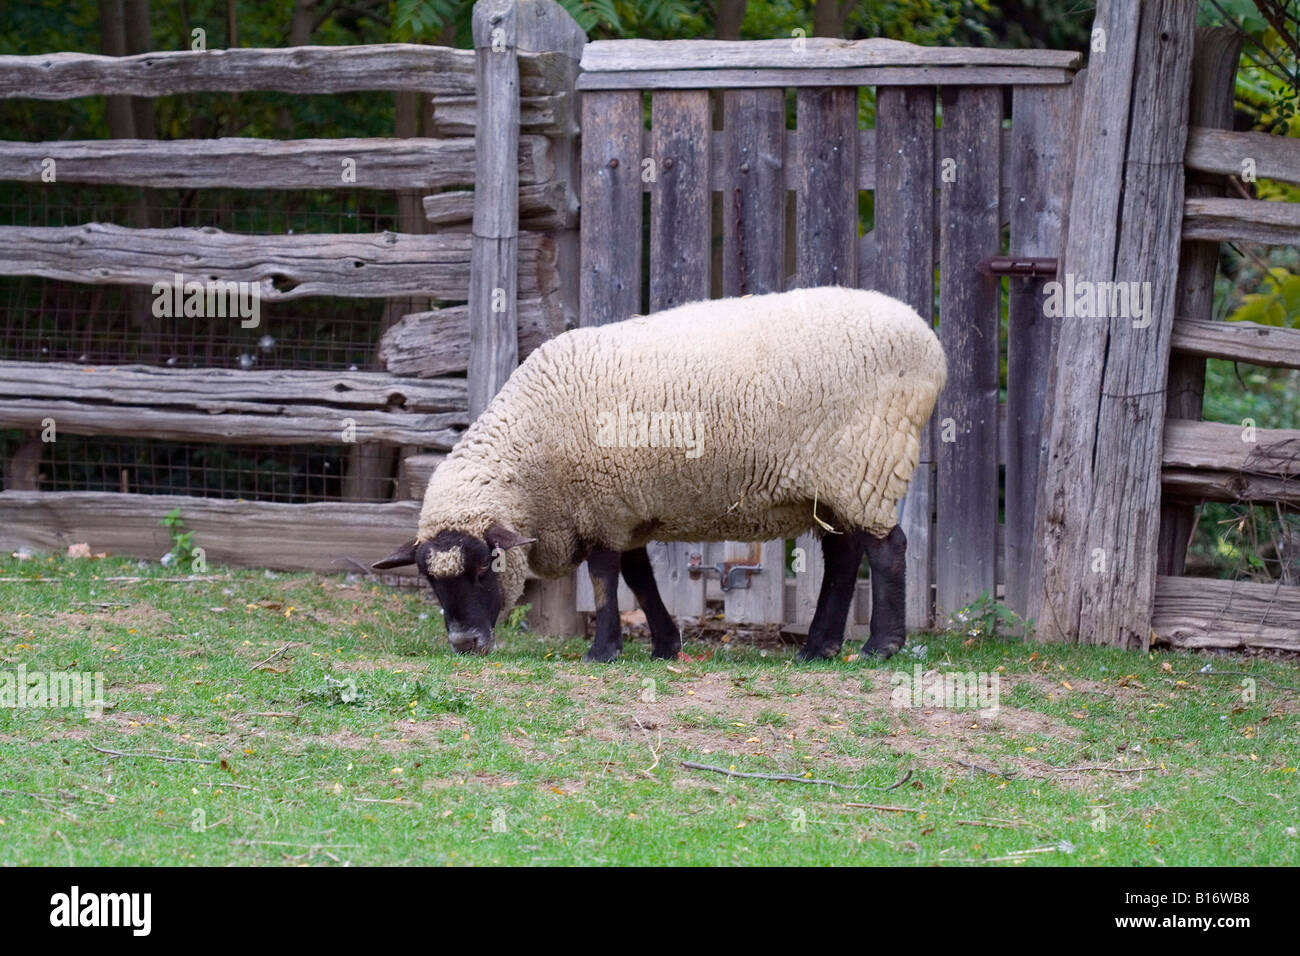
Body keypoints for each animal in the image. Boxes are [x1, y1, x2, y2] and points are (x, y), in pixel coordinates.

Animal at [374, 286, 946, 665]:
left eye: (483, 568)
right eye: (430, 579)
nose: (465, 645)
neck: (531, 457)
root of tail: (929, 344)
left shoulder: (599, 504)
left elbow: (605, 579)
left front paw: (602, 651)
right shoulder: (621, 507)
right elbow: (638, 578)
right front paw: (665, 645)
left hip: (867, 462)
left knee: (887, 549)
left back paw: (879, 646)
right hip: (832, 481)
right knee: (845, 556)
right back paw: (818, 646)